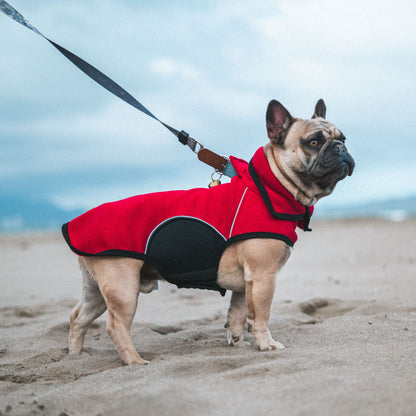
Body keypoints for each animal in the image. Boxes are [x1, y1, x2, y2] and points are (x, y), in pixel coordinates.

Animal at [67, 100, 354, 364]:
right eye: (314, 142)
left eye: (343, 138)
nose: (341, 148)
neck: (270, 187)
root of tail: (76, 222)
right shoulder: (263, 275)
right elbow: (260, 315)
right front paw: (267, 344)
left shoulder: (246, 282)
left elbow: (237, 314)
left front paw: (238, 343)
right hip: (123, 287)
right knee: (116, 326)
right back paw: (135, 362)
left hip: (97, 289)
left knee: (78, 317)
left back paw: (76, 356)